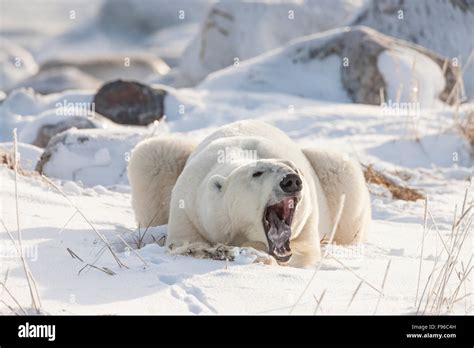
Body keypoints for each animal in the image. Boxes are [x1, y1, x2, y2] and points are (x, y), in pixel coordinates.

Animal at [128, 120, 372, 270]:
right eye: (257, 173)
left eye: (294, 167)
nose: (291, 180)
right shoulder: (190, 208)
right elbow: (182, 242)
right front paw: (215, 251)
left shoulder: (306, 221)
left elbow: (303, 254)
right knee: (152, 154)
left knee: (342, 172)